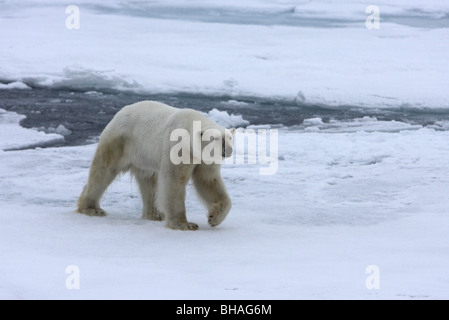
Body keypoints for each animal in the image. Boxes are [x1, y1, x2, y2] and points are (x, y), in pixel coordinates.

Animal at [77, 101, 234, 229]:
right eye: (215, 138)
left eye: (230, 138)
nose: (227, 150)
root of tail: (118, 114)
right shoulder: (177, 148)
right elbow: (174, 181)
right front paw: (185, 224)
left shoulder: (204, 158)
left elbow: (208, 181)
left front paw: (214, 217)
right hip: (120, 142)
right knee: (103, 171)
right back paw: (92, 209)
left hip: (143, 156)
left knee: (149, 183)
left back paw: (155, 214)